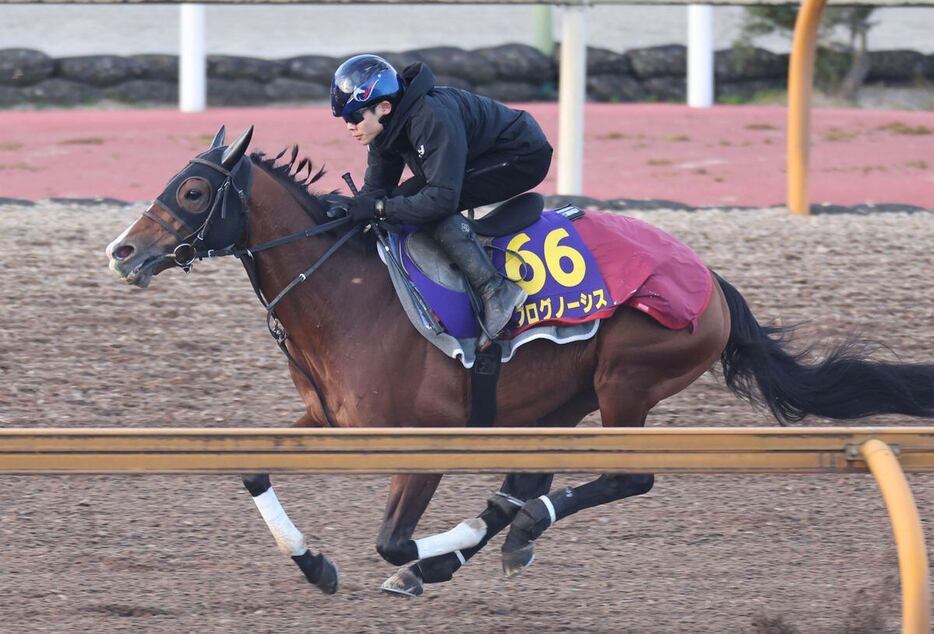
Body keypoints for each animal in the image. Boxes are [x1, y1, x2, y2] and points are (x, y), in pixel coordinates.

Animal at [102, 126, 934, 596]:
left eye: (195, 189)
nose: (124, 252)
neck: (345, 292)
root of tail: (712, 279)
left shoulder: (426, 442)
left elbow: (392, 537)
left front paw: (424, 557)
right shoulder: (327, 419)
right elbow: (252, 469)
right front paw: (316, 565)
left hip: (626, 381)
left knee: (620, 479)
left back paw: (502, 533)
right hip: (556, 399)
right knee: (531, 476)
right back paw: (500, 533)